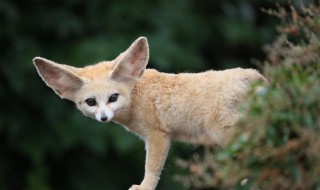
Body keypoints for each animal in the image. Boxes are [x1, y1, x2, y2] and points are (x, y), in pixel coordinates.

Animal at [33, 36, 266, 189]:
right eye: (91, 102)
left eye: (113, 98)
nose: (104, 118)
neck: (137, 95)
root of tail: (253, 75)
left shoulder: (158, 136)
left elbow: (152, 170)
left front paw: (144, 187)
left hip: (227, 135)